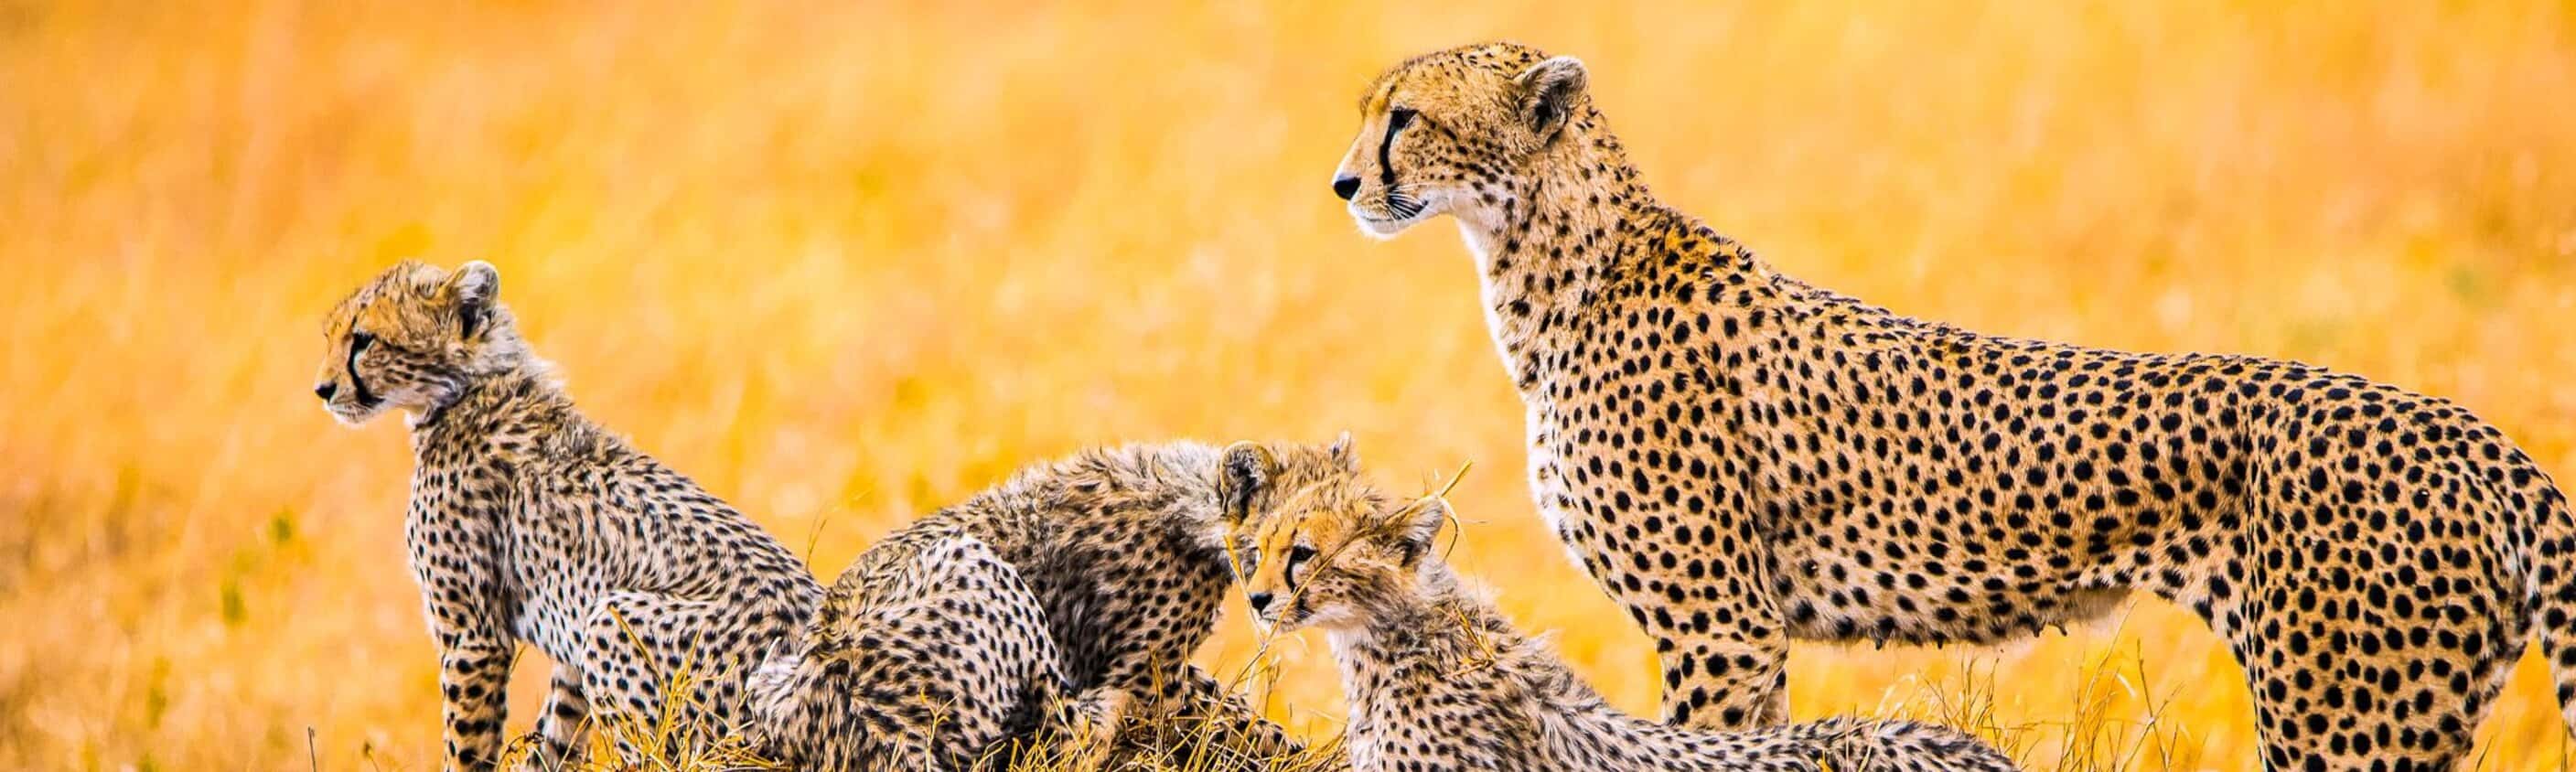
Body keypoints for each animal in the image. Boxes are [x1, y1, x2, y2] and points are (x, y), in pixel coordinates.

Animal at [315, 260, 824, 770]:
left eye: (364, 339)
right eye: (331, 335)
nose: (323, 389)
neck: (473, 387)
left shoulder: (474, 636)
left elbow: (467, 747)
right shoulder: (567, 652)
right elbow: (555, 739)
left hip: (615, 623)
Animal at [1327, 41, 2576, 770]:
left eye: (1405, 119)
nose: (1342, 184)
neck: (1551, 270)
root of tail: (2472, 435)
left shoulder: (1720, 627)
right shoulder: (1737, 633)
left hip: (2343, 714)